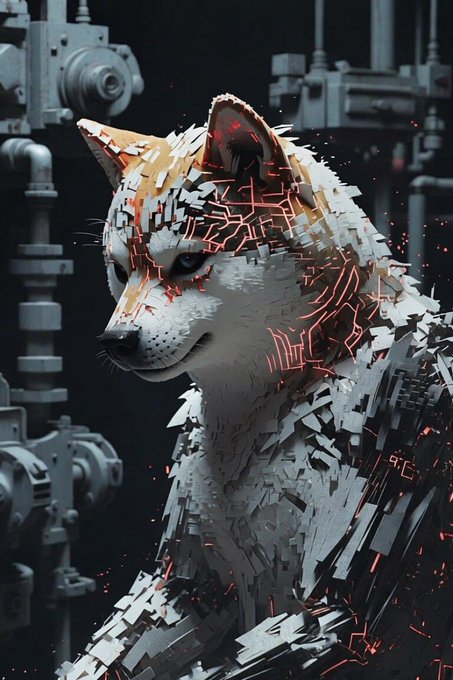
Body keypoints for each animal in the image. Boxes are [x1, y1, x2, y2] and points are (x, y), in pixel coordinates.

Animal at [58, 94, 453, 680]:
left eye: (189, 261)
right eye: (120, 271)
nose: (116, 340)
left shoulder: (341, 608)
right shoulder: (189, 585)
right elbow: (110, 653)